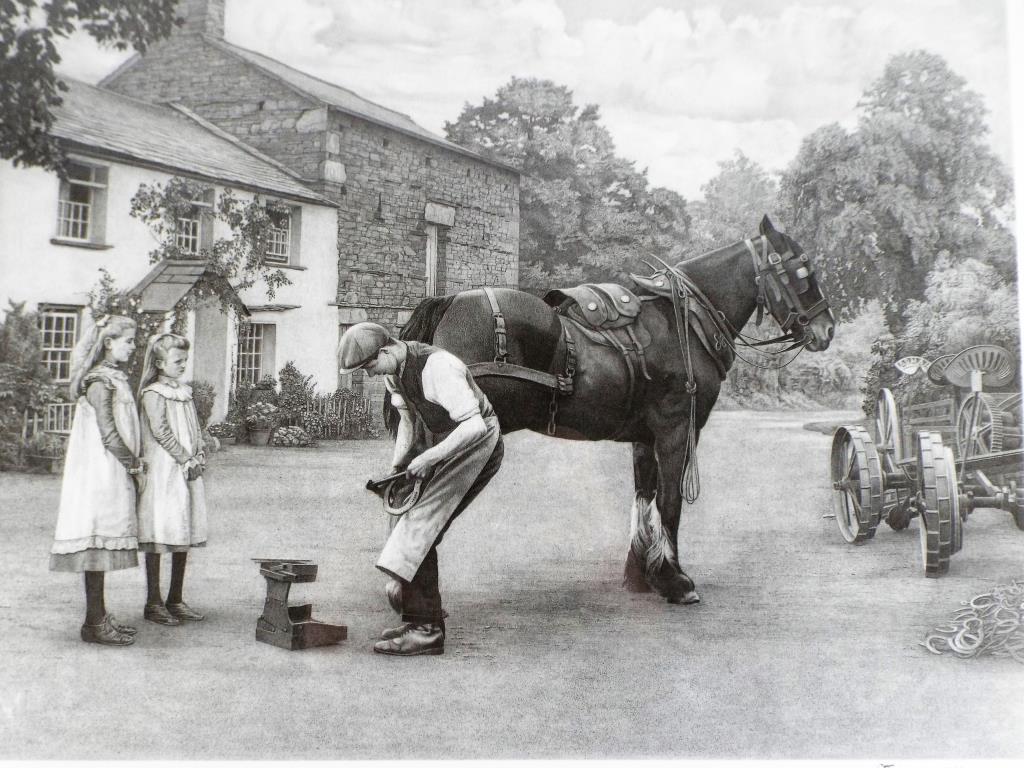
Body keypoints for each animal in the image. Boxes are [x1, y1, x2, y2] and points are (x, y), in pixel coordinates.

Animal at [387, 217, 835, 606]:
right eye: (801, 273)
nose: (826, 329)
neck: (683, 323)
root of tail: (449, 302)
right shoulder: (676, 429)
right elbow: (669, 502)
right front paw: (674, 579)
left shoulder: (645, 437)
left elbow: (644, 498)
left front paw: (643, 574)